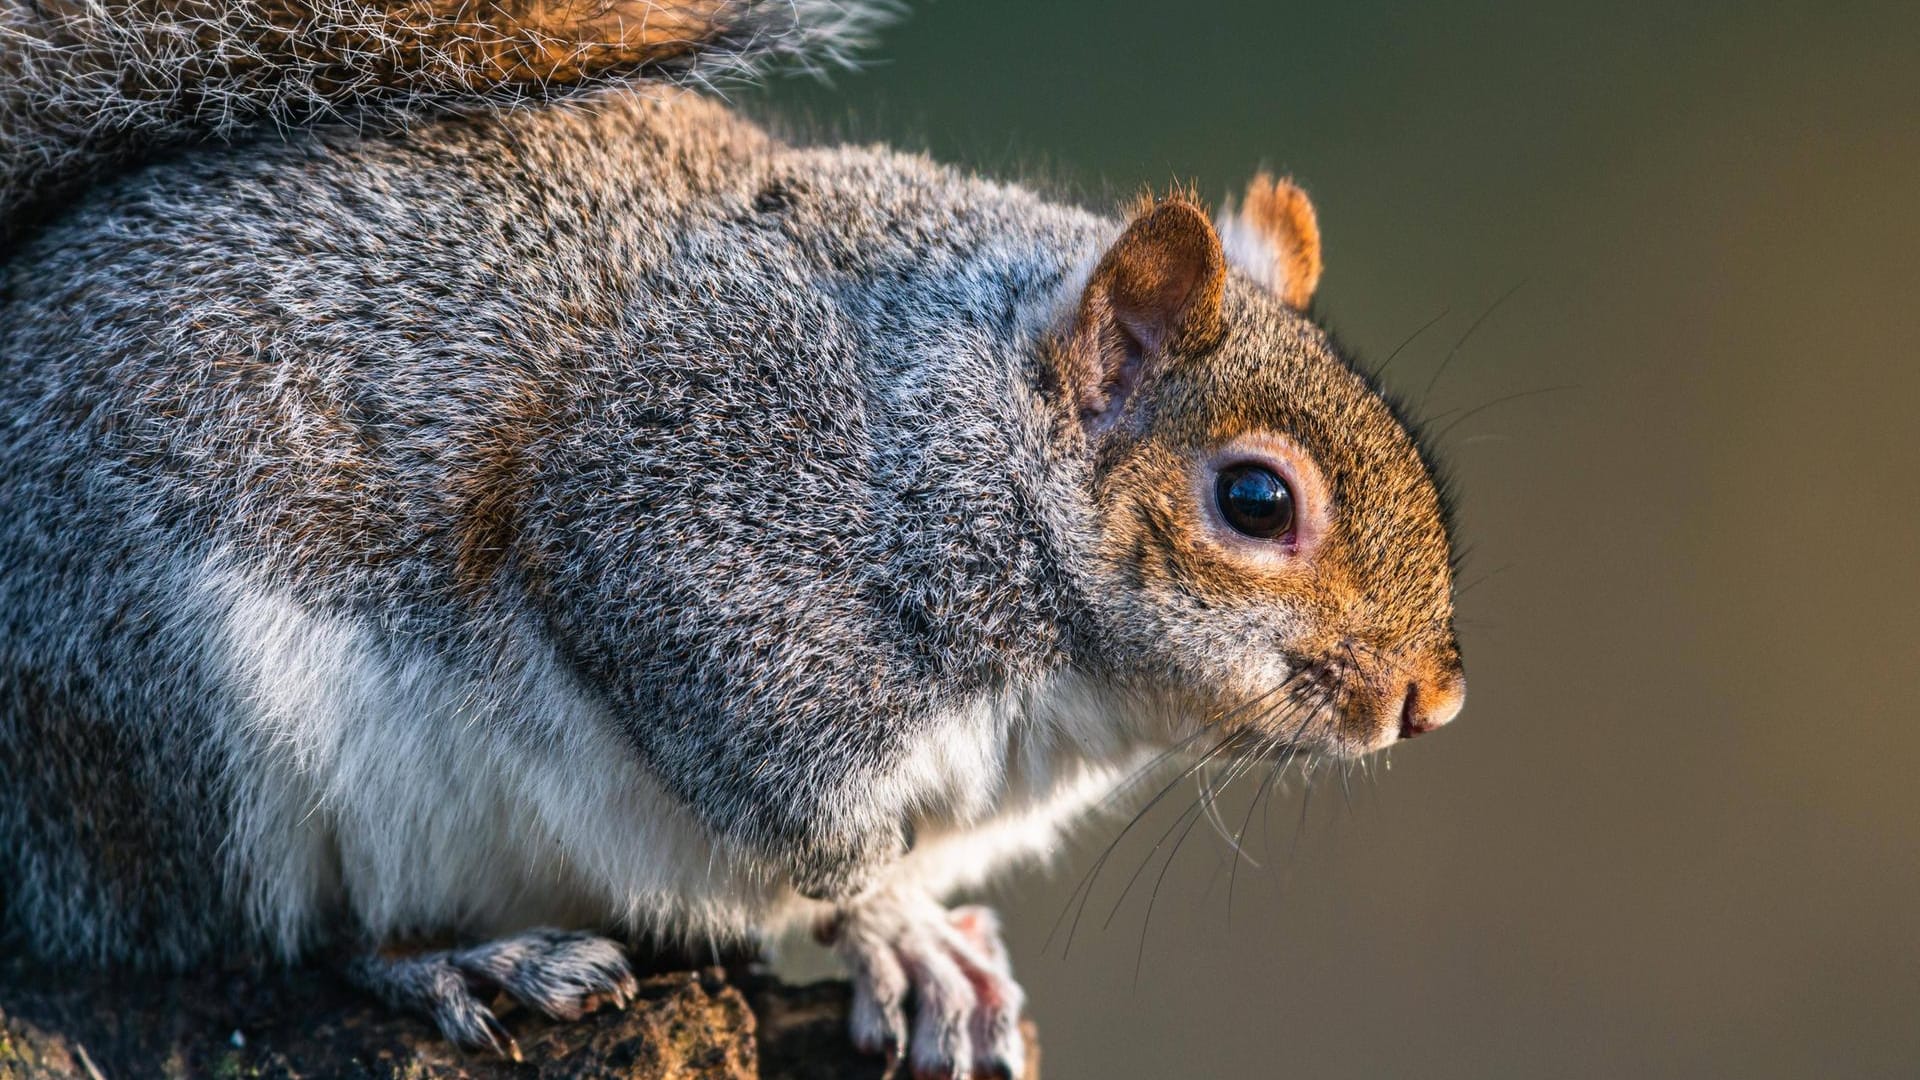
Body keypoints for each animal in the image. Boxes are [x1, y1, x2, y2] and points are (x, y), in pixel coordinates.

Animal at [3, 4, 1466, 1068]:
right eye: (1257, 501)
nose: (1432, 702)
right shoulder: (709, 549)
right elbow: (805, 836)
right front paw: (896, 928)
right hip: (170, 716)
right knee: (244, 942)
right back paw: (471, 959)